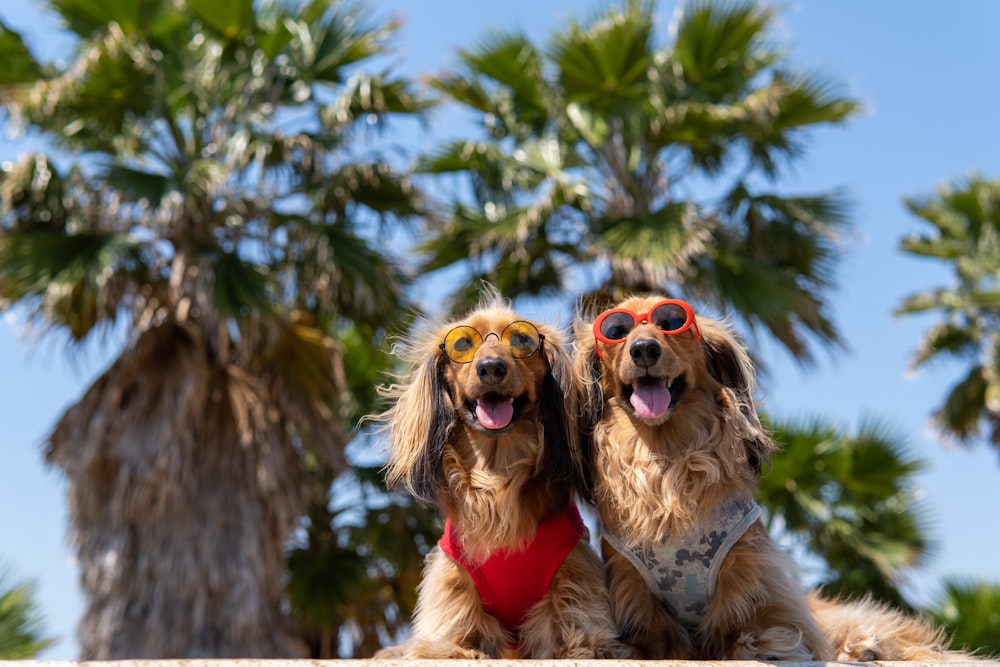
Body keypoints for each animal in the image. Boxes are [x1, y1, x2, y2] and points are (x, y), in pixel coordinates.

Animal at [372, 290, 628, 660]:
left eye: (522, 340)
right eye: (463, 343)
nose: (491, 367)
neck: (497, 473)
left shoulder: (572, 575)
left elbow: (578, 636)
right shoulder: (454, 586)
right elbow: (449, 641)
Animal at [576, 294, 832, 660]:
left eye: (670, 322)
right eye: (617, 331)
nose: (644, 349)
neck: (665, 456)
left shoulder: (750, 571)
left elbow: (747, 624)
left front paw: (761, 645)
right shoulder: (632, 586)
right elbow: (655, 639)